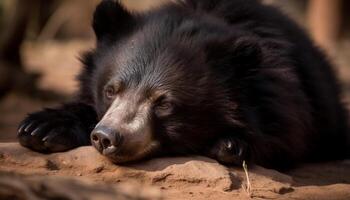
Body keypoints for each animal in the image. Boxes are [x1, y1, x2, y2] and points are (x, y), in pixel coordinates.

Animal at [17, 0, 348, 169]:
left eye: (164, 103)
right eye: (110, 90)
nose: (105, 137)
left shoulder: (286, 103)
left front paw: (231, 144)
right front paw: (40, 129)